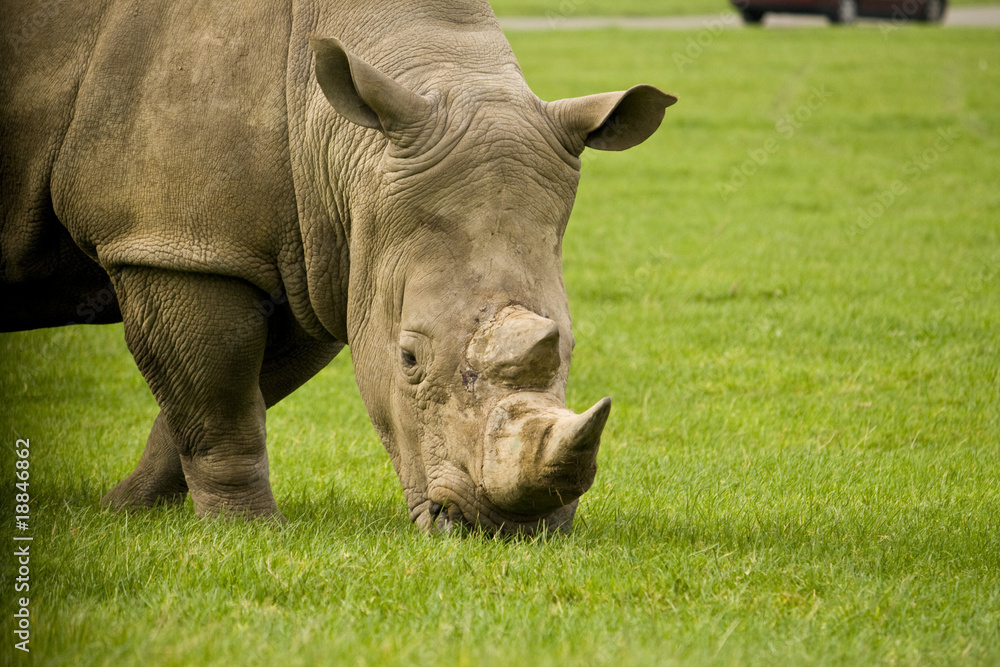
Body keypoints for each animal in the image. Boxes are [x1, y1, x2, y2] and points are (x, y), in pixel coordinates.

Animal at [0, 0, 675, 534]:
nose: (507, 531)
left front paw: (125, 510)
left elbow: (213, 398)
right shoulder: (175, 247)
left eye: (569, 346)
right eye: (409, 358)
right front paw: (248, 531)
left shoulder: (322, 261)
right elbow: (218, 400)